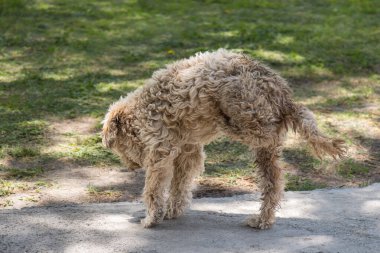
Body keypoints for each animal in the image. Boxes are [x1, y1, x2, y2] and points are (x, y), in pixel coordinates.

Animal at [102, 48, 346, 228]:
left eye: (118, 147)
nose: (131, 167)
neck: (140, 111)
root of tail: (282, 93)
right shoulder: (188, 151)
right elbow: (180, 185)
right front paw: (172, 211)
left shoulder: (160, 152)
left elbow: (153, 189)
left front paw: (151, 219)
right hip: (262, 142)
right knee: (274, 182)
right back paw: (262, 220)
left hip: (247, 117)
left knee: (276, 131)